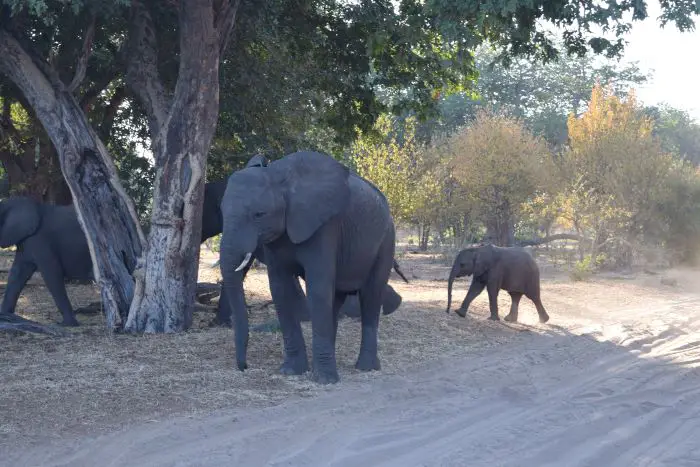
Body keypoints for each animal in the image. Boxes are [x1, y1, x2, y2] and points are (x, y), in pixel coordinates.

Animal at [0, 197, 93, 326]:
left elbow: (52, 274)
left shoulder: (41, 240)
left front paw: (67, 324)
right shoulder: (27, 240)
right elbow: (17, 274)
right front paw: (6, 316)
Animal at [221, 150, 402, 384]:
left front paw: (325, 380)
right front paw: (291, 371)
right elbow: (280, 289)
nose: (244, 367)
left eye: (259, 214)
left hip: (386, 239)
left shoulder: (325, 226)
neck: (280, 178)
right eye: (221, 212)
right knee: (336, 298)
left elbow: (317, 288)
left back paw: (366, 368)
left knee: (371, 296)